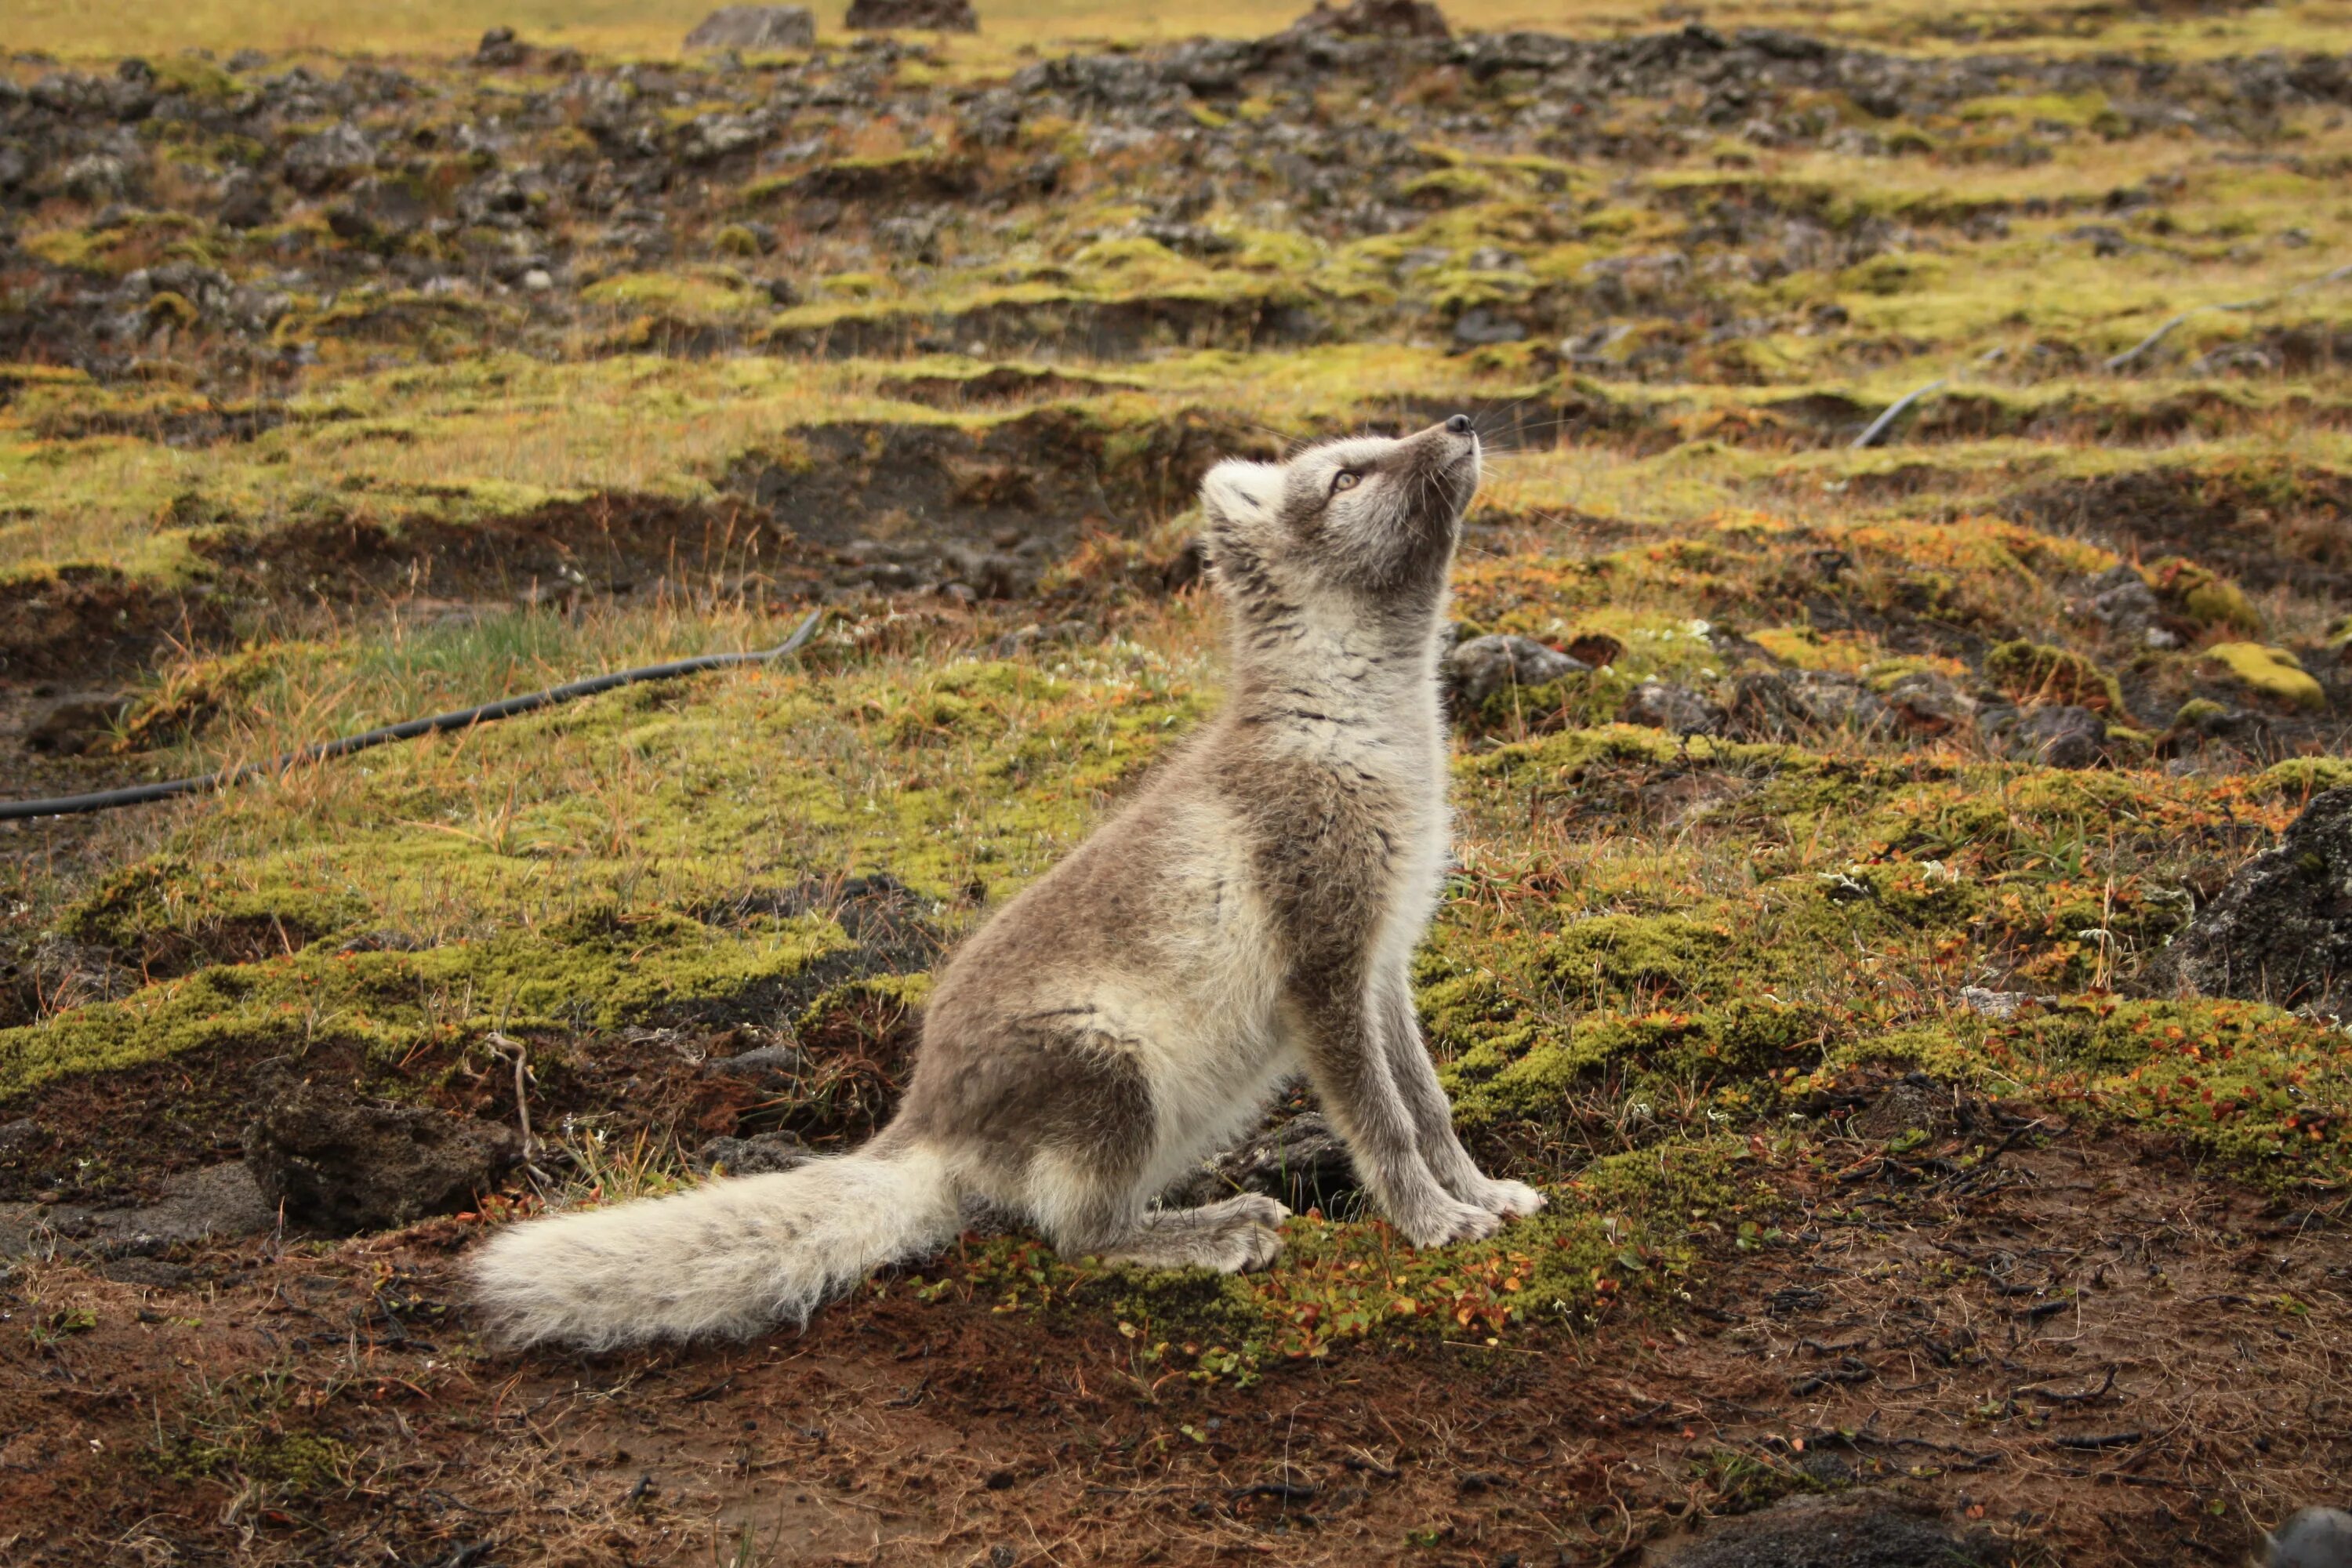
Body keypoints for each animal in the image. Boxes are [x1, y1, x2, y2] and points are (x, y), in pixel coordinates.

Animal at [473, 413, 1543, 1354]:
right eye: (1348, 476)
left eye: (1378, 446)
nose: (1460, 423)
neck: (1362, 732)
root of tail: (924, 1117)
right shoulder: (1322, 961)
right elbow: (1380, 1120)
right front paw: (1431, 1222)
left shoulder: (1384, 959)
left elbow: (1429, 1103)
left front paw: (1484, 1193)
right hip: (1110, 1072)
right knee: (1076, 1235)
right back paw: (1214, 1231)